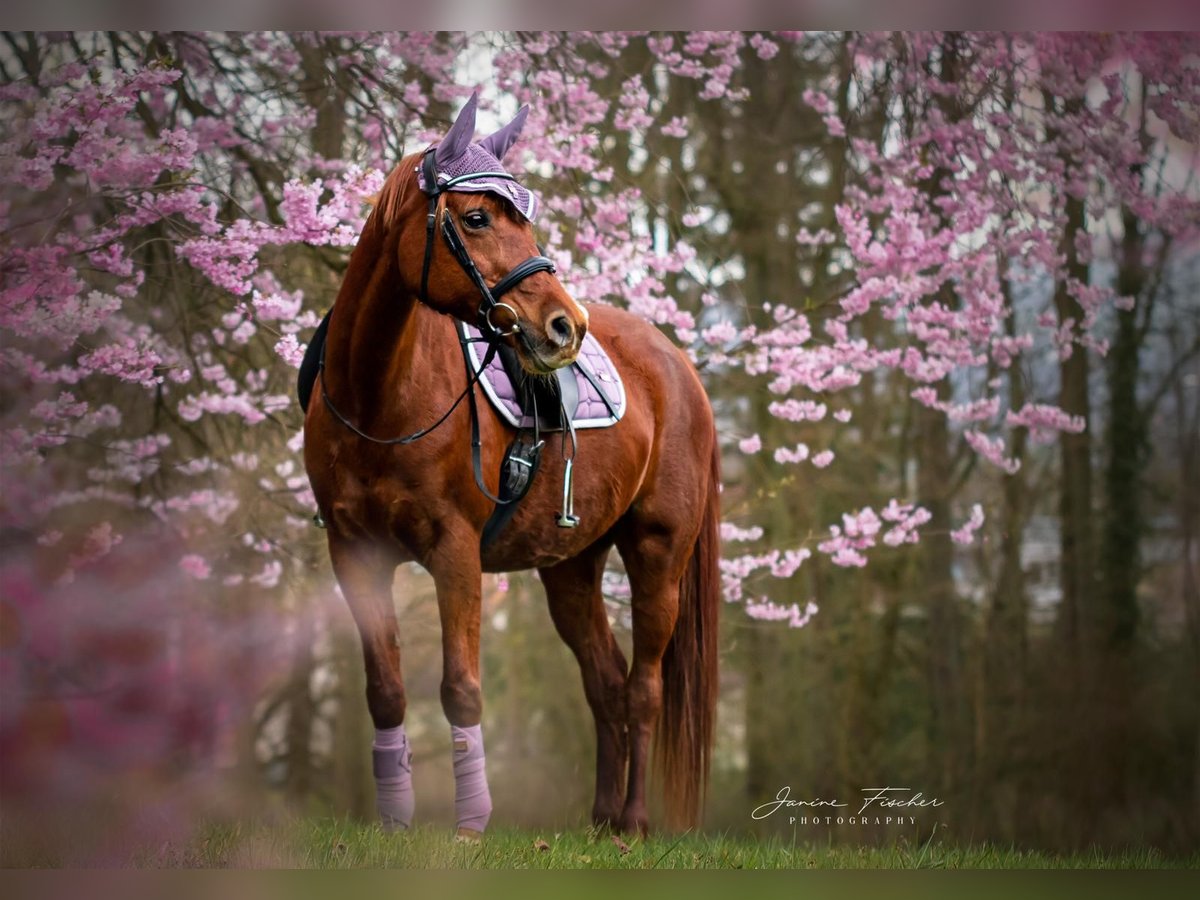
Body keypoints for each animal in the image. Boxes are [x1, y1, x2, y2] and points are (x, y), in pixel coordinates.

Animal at [304, 93, 715, 840]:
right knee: (606, 684)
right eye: (476, 217)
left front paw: (470, 827)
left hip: (658, 554)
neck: (377, 396)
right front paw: (394, 821)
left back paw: (634, 823)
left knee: (643, 688)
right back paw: (601, 819)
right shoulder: (354, 553)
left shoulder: (455, 553)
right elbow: (386, 691)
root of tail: (677, 366)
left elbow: (461, 689)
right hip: (571, 569)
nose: (564, 326)